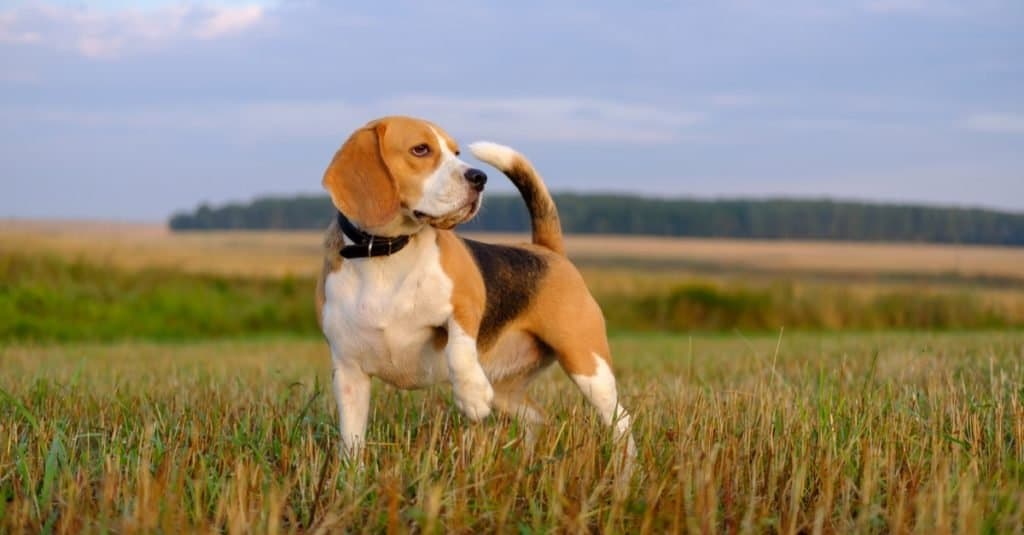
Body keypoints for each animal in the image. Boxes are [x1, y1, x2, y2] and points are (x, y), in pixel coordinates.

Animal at [313, 116, 630, 457]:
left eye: (456, 152)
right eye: (420, 149)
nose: (479, 177)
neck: (386, 254)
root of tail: (547, 250)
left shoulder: (466, 301)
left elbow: (459, 347)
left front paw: (472, 396)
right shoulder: (349, 373)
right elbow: (351, 441)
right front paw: (352, 470)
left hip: (586, 363)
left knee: (621, 419)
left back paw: (624, 465)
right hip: (507, 391)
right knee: (538, 418)